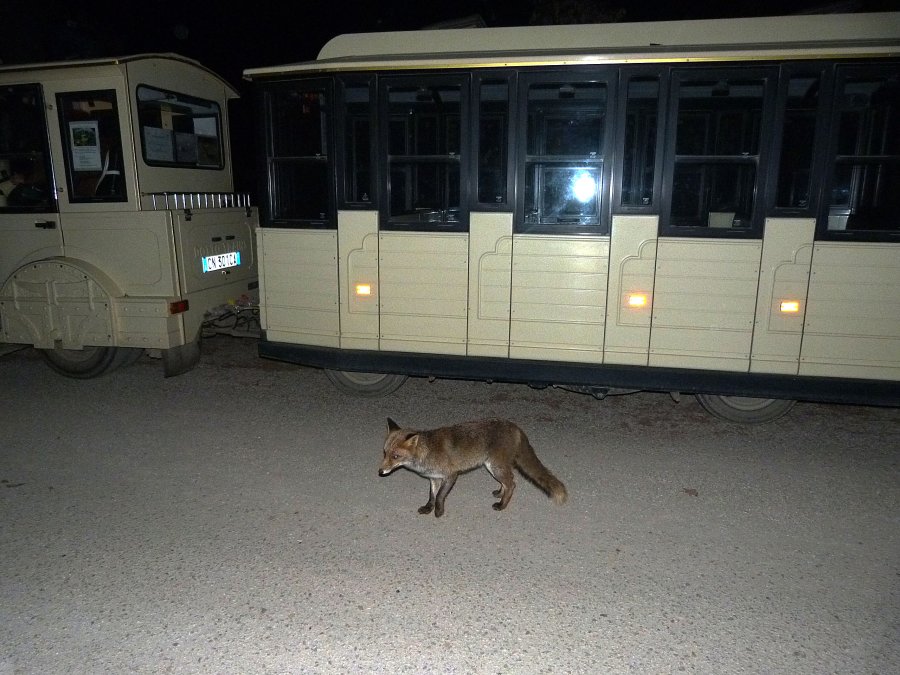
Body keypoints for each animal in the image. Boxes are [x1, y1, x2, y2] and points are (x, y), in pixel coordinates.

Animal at [379, 417, 568, 517]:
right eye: (385, 453)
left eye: (396, 457)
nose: (380, 472)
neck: (427, 452)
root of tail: (514, 426)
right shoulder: (434, 478)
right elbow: (431, 496)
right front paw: (428, 508)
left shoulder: (451, 475)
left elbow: (440, 496)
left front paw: (439, 511)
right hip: (493, 467)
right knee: (507, 482)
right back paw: (499, 493)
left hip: (495, 466)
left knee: (512, 483)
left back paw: (502, 505)